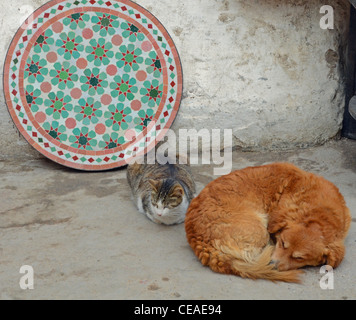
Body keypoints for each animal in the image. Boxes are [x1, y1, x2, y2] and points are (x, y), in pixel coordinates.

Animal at [185, 162, 352, 282]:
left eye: (299, 258)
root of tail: (198, 237)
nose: (272, 265)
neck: (320, 212)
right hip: (259, 230)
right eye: (283, 243)